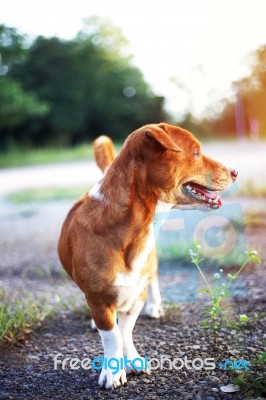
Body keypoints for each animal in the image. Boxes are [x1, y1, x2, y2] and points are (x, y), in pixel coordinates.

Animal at [57, 123, 237, 390]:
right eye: (196, 152)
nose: (235, 172)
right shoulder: (98, 299)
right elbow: (112, 336)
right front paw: (113, 372)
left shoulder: (137, 292)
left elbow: (125, 331)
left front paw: (131, 360)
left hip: (149, 267)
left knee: (152, 279)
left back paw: (155, 305)